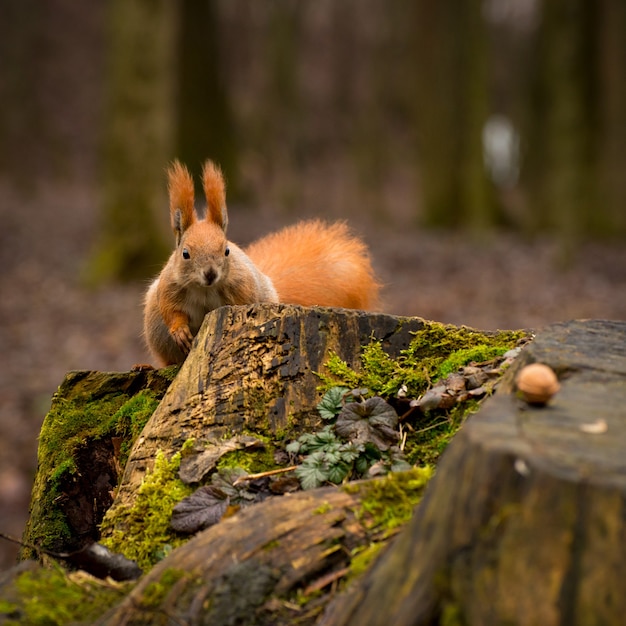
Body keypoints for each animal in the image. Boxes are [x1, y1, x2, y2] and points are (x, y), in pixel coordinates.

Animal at [145, 158, 380, 366]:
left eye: (227, 250)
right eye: (185, 253)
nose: (210, 274)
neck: (204, 289)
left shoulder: (242, 287)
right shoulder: (170, 287)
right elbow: (171, 311)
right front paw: (180, 331)